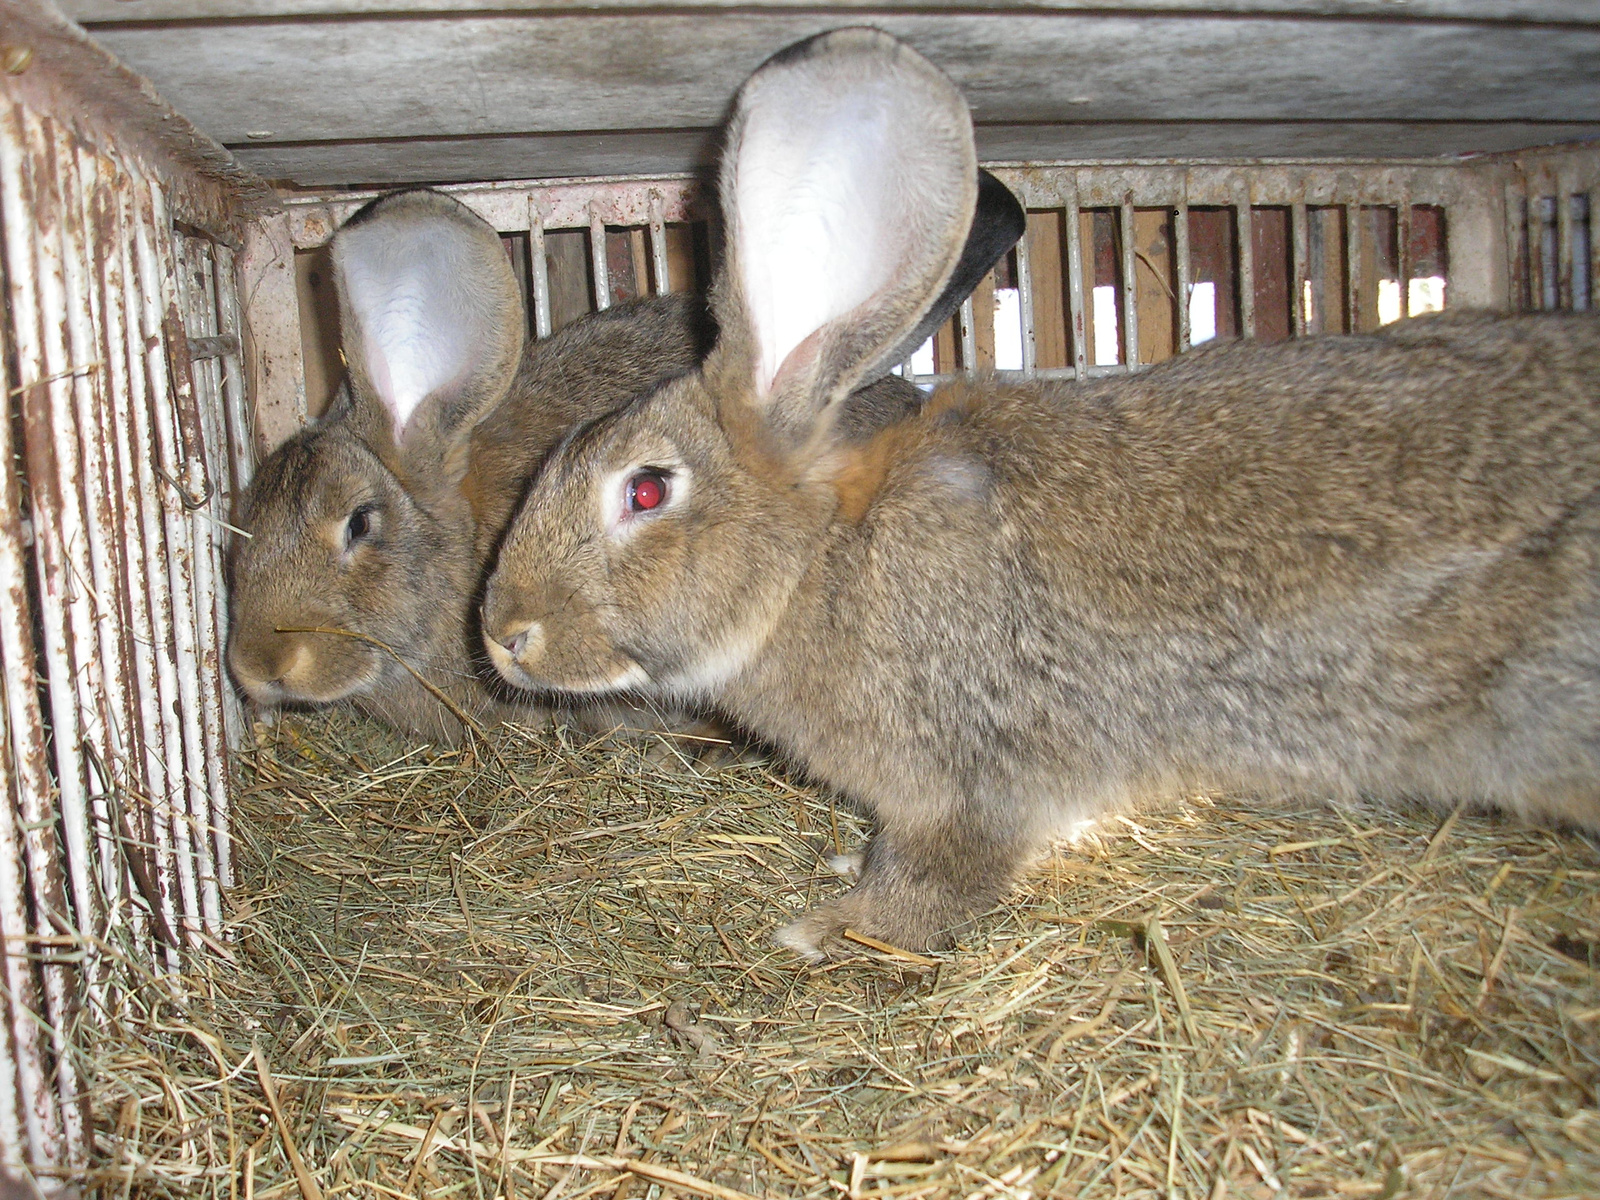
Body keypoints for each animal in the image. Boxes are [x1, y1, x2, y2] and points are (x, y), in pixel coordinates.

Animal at [480, 28, 1600, 966]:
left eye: (647, 489)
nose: (500, 634)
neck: (817, 562)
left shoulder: (966, 779)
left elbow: (938, 880)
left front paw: (831, 925)